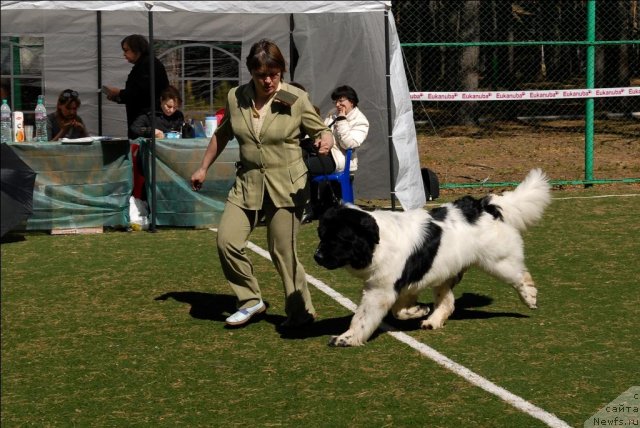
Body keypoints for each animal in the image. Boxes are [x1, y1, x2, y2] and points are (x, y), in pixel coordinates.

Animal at [314, 169, 552, 346]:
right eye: (321, 235)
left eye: (337, 238)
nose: (317, 256)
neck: (377, 243)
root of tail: (483, 206)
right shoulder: (406, 284)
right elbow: (399, 311)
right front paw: (419, 310)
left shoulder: (379, 291)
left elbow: (363, 317)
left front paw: (346, 338)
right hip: (445, 271)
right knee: (447, 301)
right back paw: (433, 320)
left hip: (498, 262)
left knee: (520, 276)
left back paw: (530, 297)